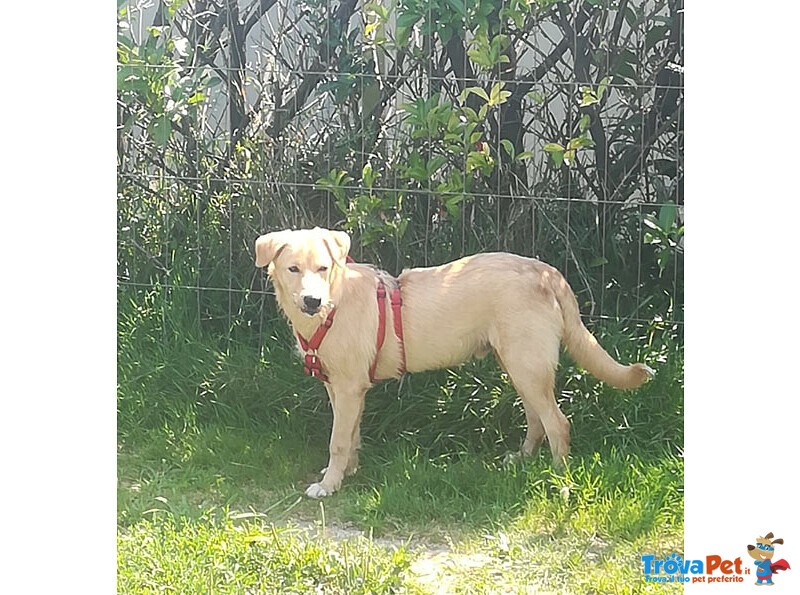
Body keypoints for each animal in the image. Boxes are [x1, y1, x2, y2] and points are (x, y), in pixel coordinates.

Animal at [253, 228, 652, 498]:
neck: (333, 304)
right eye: (293, 269)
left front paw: (329, 484)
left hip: (527, 366)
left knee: (558, 423)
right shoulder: (340, 389)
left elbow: (338, 440)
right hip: (519, 366)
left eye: (322, 268)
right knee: (537, 419)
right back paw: (522, 459)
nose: (312, 301)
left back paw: (558, 477)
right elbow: (350, 437)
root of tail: (546, 271)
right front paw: (346, 473)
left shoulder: (350, 388)